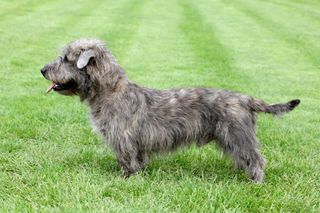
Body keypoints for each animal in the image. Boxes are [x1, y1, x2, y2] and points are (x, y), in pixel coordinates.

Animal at [40, 38, 300, 181]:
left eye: (65, 59)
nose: (42, 70)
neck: (110, 91)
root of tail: (245, 98)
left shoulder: (123, 139)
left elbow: (127, 160)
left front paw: (127, 179)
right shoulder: (134, 143)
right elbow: (138, 159)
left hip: (237, 135)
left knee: (256, 159)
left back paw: (255, 181)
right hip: (231, 138)